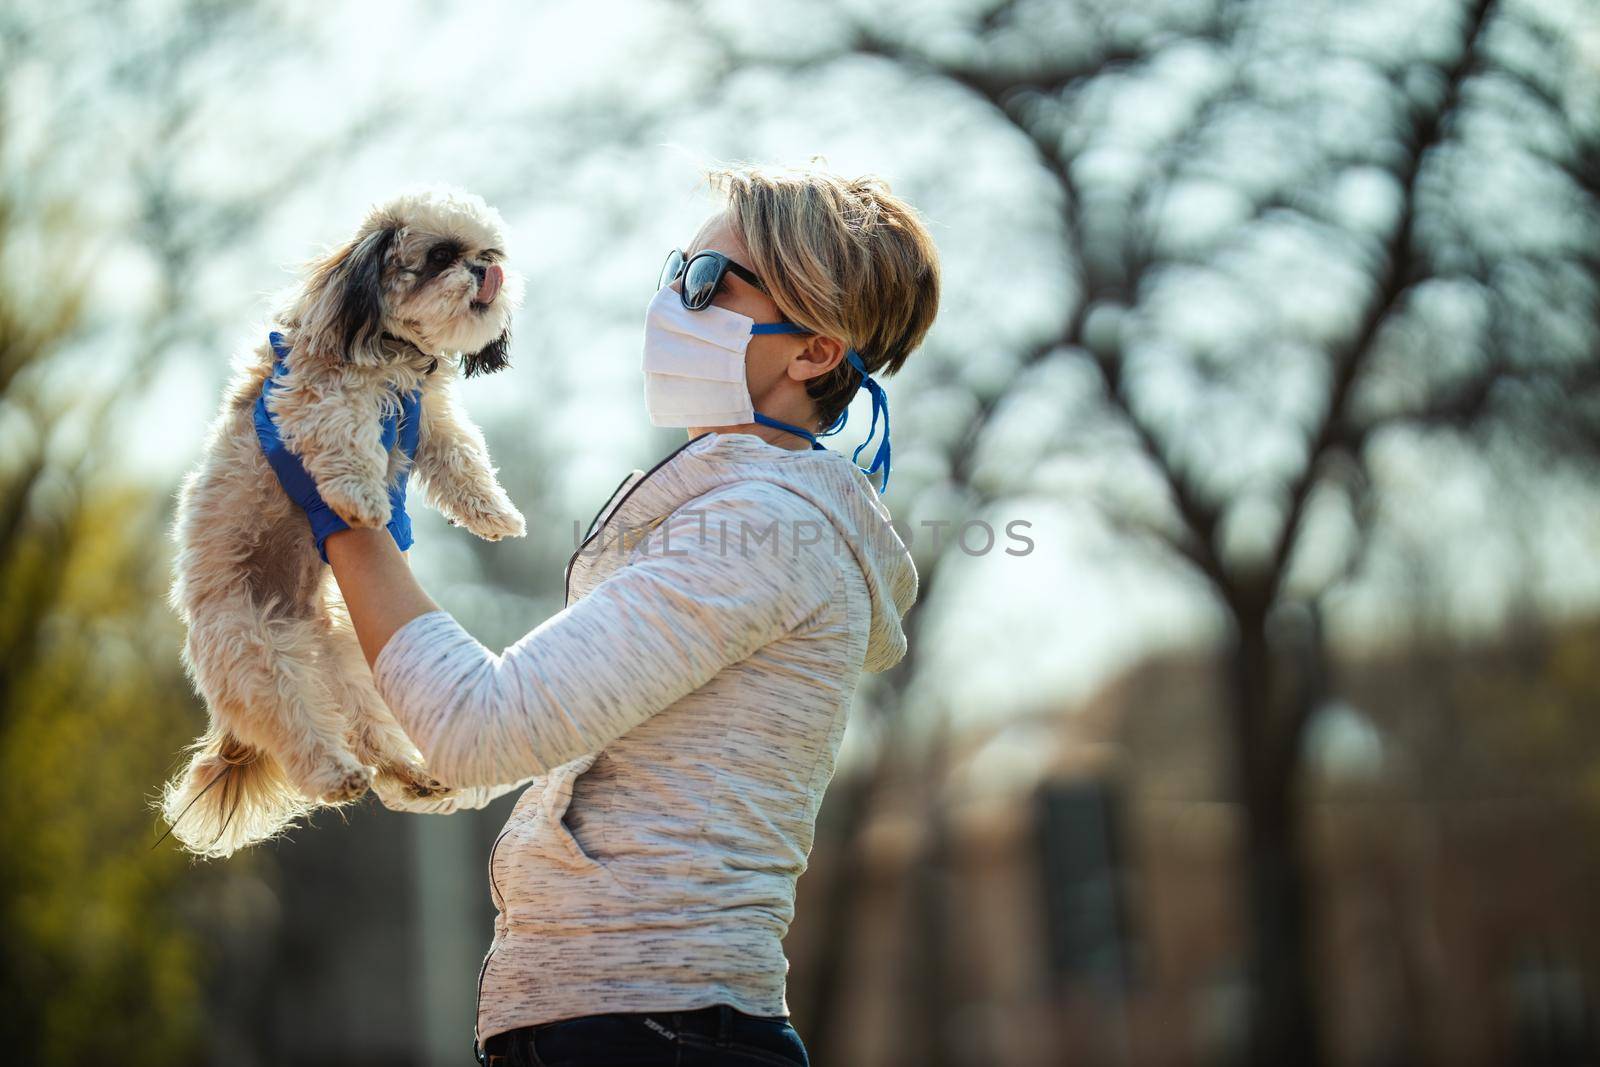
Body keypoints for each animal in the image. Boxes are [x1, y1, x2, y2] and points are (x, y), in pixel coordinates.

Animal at [160, 187, 528, 857]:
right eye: (442, 255)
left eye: (489, 253)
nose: (484, 271)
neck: (392, 349)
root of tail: (295, 626)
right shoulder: (314, 396)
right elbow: (344, 436)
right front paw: (362, 500)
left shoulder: (426, 416)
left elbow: (463, 456)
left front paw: (494, 513)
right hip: (260, 662)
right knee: (303, 735)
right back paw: (337, 775)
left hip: (351, 666)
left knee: (369, 733)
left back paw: (414, 775)